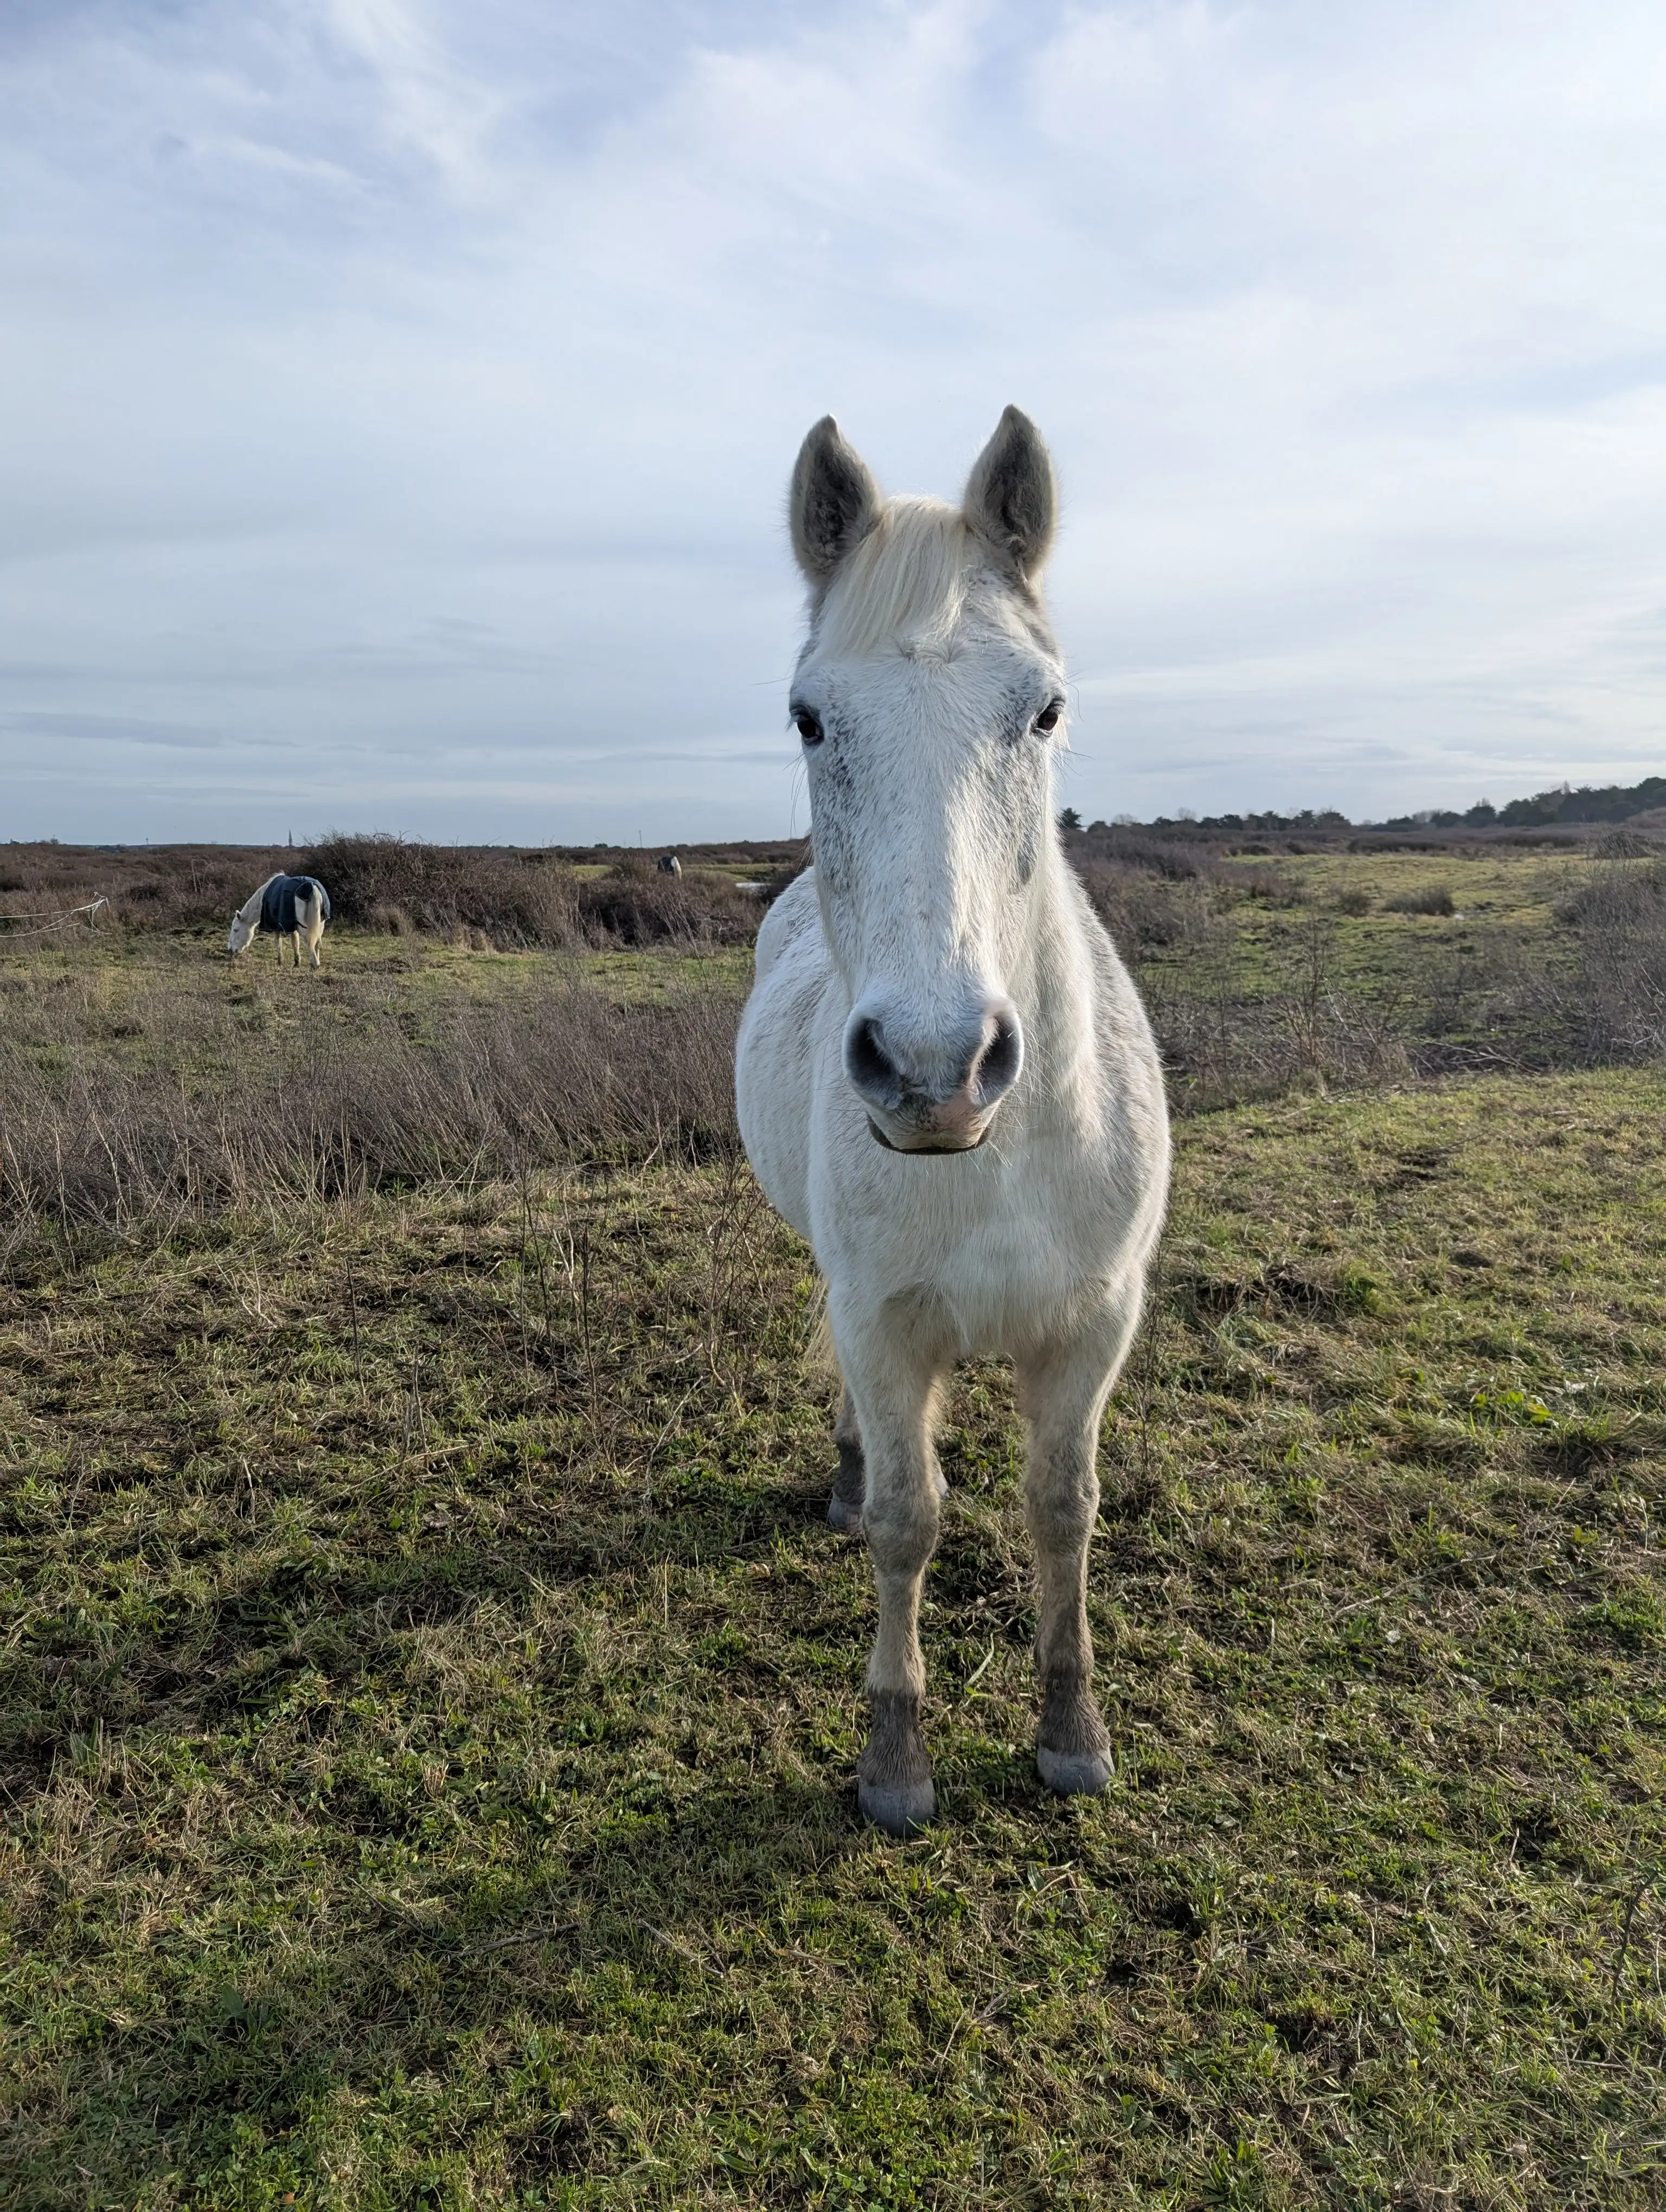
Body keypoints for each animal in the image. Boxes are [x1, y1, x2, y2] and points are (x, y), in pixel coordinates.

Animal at [228, 874, 332, 968]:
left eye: (236, 930)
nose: (230, 949)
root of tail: (313, 886)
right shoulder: (292, 926)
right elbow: (295, 943)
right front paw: (297, 963)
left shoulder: (276, 927)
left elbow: (279, 944)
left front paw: (280, 963)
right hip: (320, 924)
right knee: (318, 943)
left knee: (310, 944)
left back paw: (315, 965)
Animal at [735, 408, 1170, 1835]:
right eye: (809, 716)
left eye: (1044, 708)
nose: (935, 1067)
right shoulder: (881, 1323)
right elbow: (906, 1522)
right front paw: (894, 1756)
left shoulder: (1093, 1327)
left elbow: (1061, 1511)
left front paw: (1071, 1731)